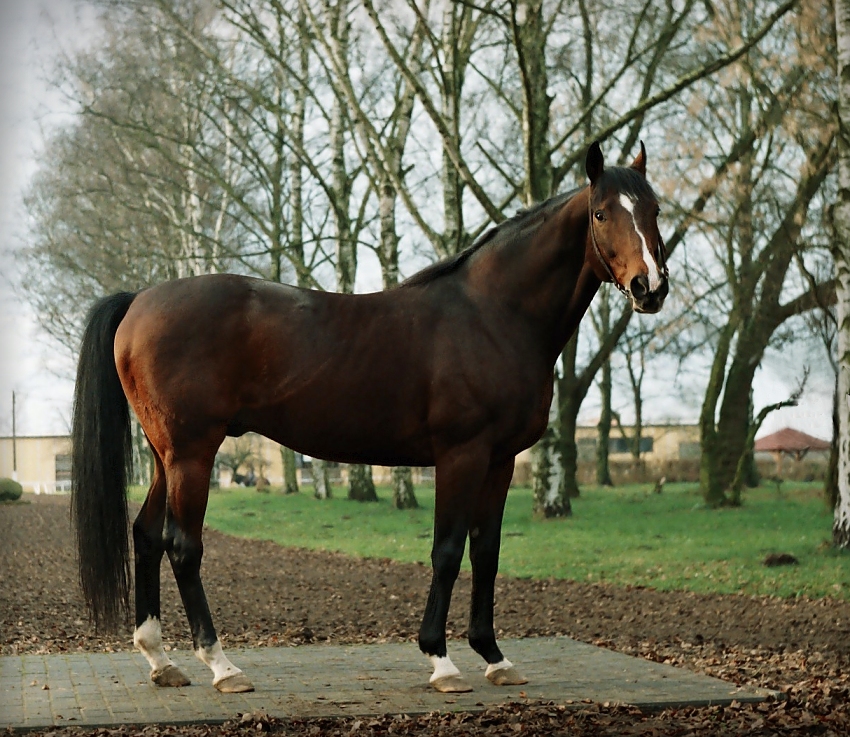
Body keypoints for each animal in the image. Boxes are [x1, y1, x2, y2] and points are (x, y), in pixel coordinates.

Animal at [71, 141, 668, 692]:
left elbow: (487, 552)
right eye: (601, 213)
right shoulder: (461, 455)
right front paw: (441, 661)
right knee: (182, 546)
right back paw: (222, 666)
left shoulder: (500, 462)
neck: (492, 315)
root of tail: (140, 299)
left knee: (147, 534)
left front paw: (495, 658)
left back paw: (161, 660)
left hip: (164, 455)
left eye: (654, 208)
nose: (651, 287)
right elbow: (447, 551)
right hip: (193, 453)